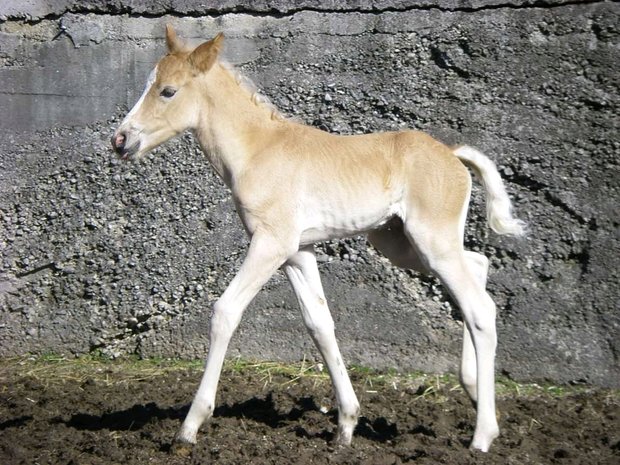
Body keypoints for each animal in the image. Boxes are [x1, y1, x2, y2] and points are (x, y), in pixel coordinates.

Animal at [111, 26, 524, 454]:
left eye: (168, 91)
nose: (120, 140)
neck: (258, 150)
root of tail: (453, 154)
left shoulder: (271, 243)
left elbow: (226, 311)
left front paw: (189, 427)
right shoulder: (298, 252)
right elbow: (319, 324)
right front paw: (346, 425)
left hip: (430, 239)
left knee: (479, 308)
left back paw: (483, 434)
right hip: (400, 243)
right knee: (477, 265)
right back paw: (473, 388)